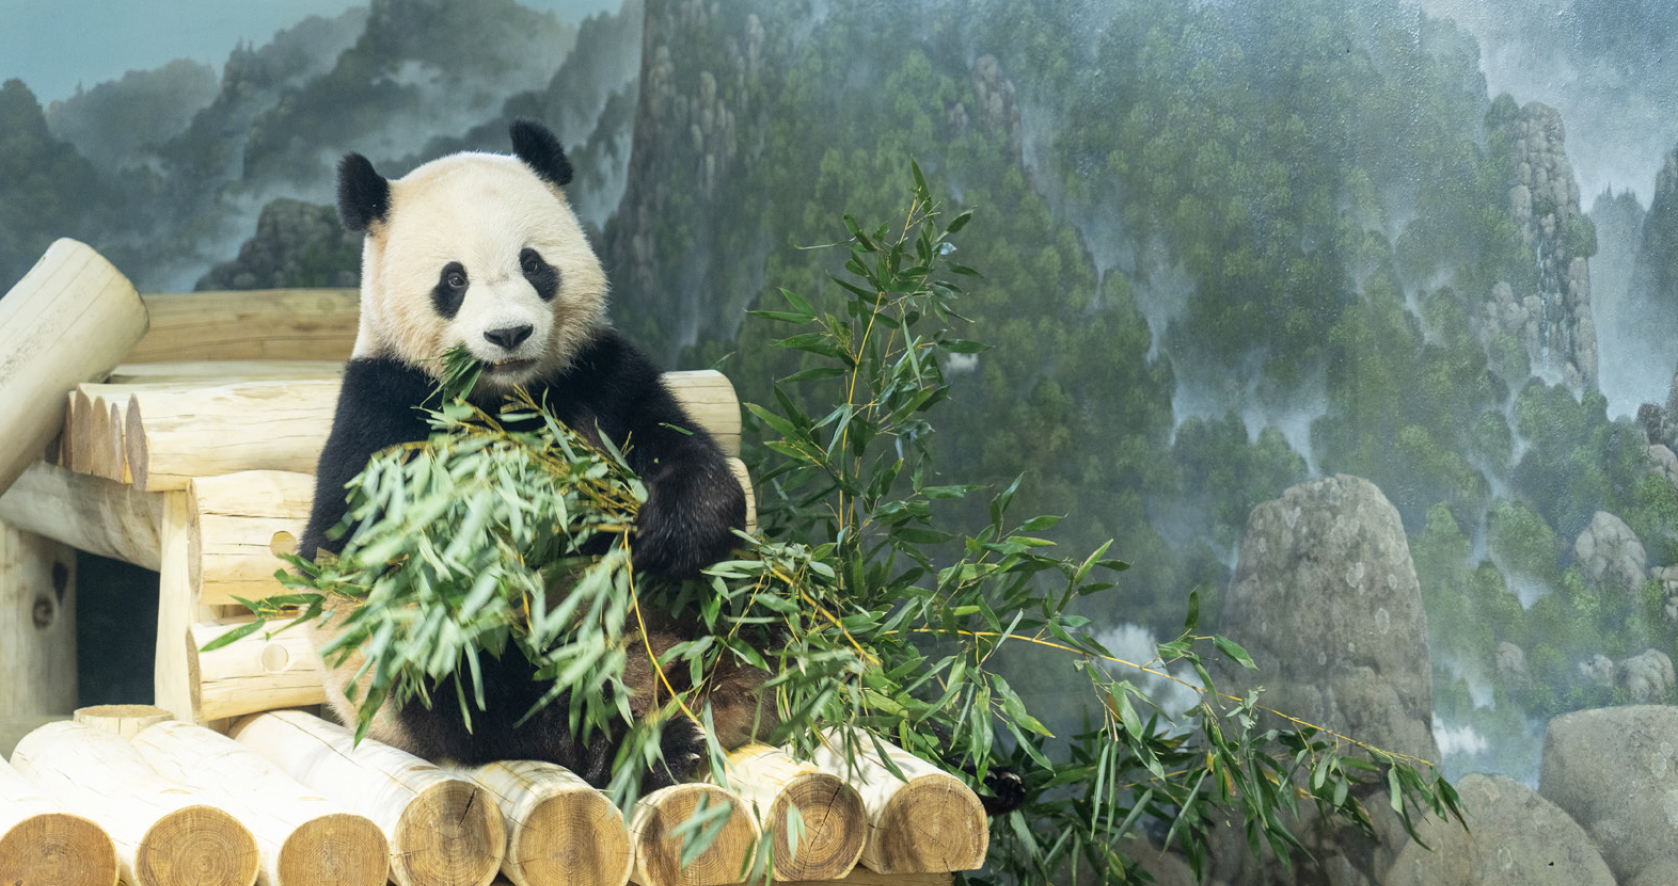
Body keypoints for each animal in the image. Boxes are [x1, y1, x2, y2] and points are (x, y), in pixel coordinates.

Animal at [298, 118, 772, 789]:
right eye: (454, 280)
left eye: (533, 263)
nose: (509, 335)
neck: (510, 396)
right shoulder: (386, 414)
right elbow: (363, 541)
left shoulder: (597, 374)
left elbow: (676, 444)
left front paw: (674, 530)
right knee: (484, 687)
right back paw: (634, 747)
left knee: (754, 606)